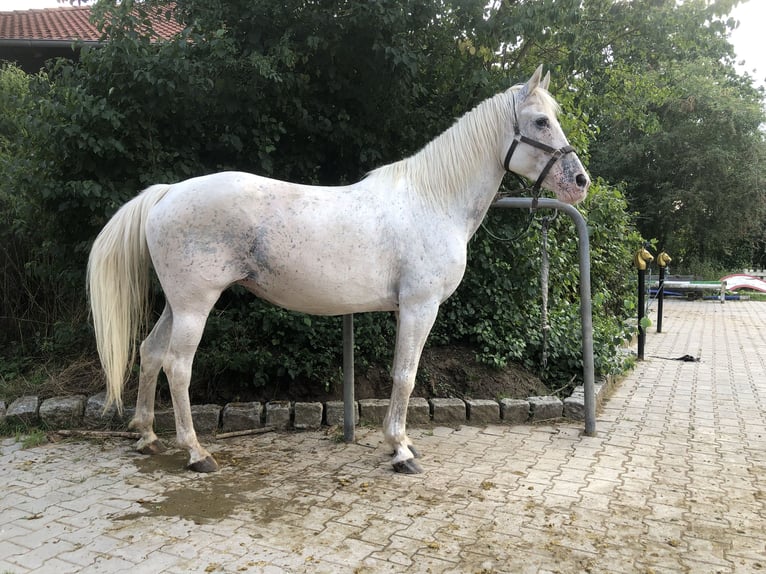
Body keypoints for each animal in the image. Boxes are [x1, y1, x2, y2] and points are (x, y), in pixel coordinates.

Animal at [87, 65, 590, 474]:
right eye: (540, 121)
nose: (580, 182)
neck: (433, 200)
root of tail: (168, 193)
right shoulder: (419, 307)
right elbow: (405, 375)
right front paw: (400, 449)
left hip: (177, 304)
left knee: (151, 353)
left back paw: (147, 436)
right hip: (195, 305)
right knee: (177, 365)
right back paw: (196, 453)